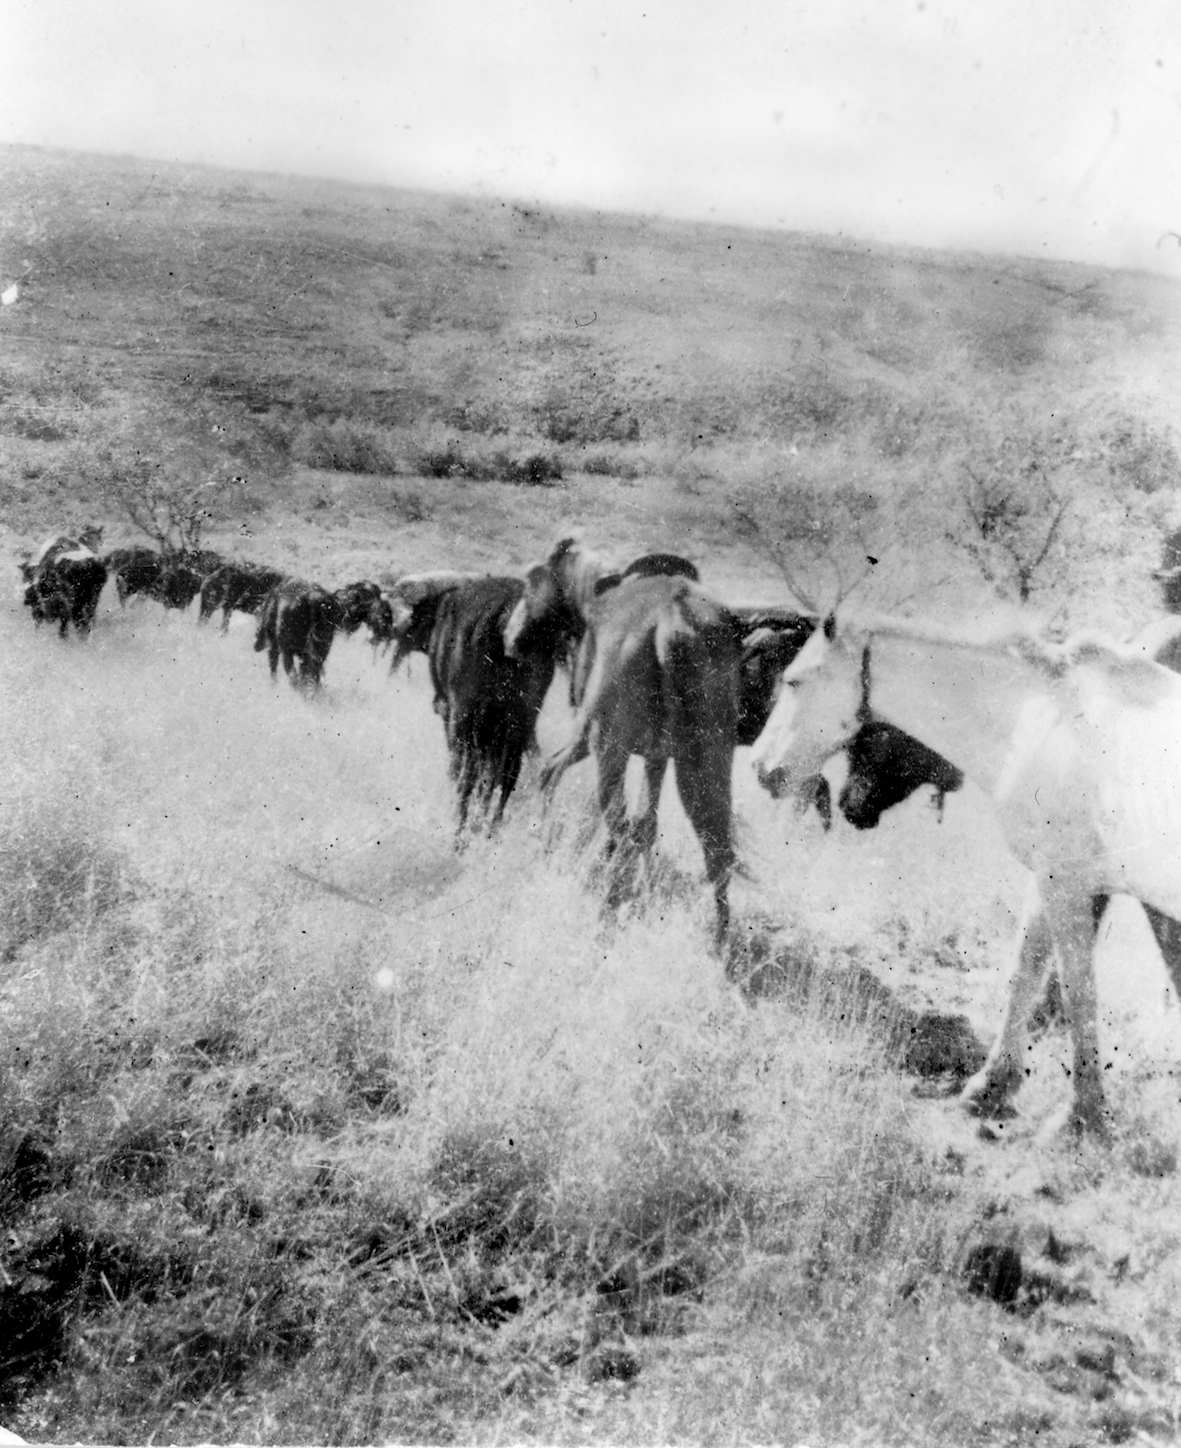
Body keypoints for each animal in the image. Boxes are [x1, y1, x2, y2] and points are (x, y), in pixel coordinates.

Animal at [750, 612, 1181, 1138]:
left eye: (795, 681)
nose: (761, 767)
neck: (1042, 721)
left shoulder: (1070, 885)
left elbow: (1078, 994)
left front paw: (1082, 1117)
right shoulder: (1048, 879)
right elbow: (1025, 974)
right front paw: (991, 1086)